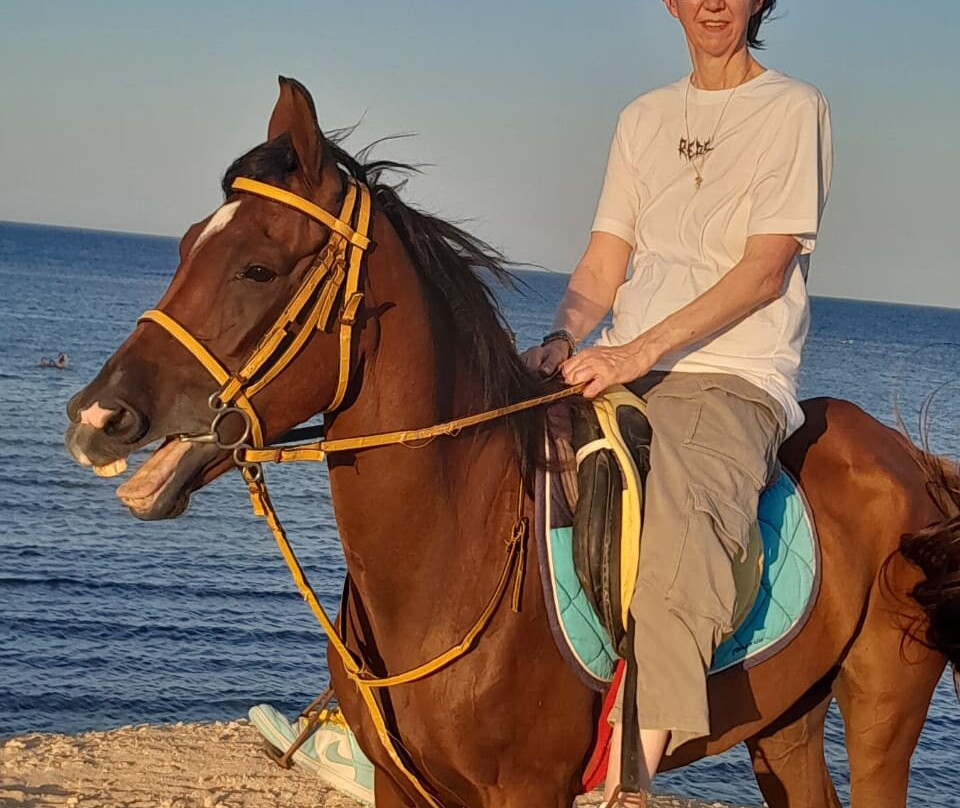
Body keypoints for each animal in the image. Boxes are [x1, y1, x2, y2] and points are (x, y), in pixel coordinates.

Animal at [65, 77, 960, 808]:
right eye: (187, 243)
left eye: (256, 267)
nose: (96, 416)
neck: (453, 553)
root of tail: (910, 459)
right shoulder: (400, 786)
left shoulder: (529, 789)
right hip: (787, 721)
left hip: (882, 710)